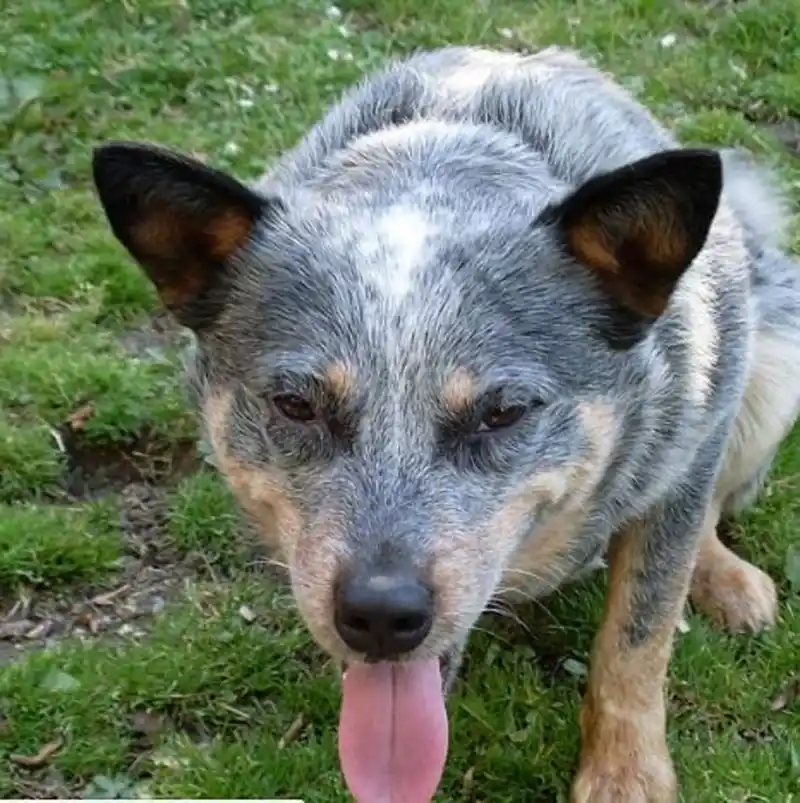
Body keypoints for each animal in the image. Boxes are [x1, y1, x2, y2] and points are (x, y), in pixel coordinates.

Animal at [90, 45, 796, 803]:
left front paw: (625, 773)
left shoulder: (688, 447)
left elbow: (638, 633)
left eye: (502, 412)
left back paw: (726, 578)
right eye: (296, 405)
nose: (381, 612)